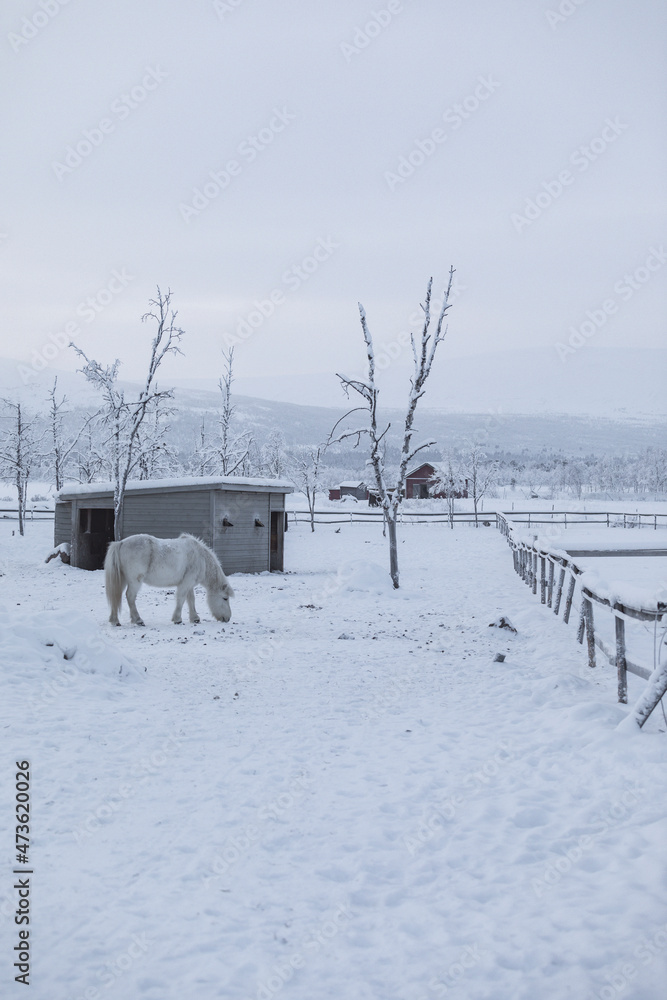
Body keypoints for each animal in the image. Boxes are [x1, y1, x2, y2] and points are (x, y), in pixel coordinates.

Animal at [104, 533, 234, 627]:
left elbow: (191, 599)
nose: (227, 618)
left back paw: (115, 621)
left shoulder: (189, 584)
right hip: (135, 581)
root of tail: (121, 543)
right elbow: (181, 599)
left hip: (122, 580)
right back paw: (138, 620)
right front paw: (177, 619)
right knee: (130, 596)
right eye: (225, 598)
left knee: (116, 595)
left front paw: (195, 618)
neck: (200, 558)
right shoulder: (186, 583)